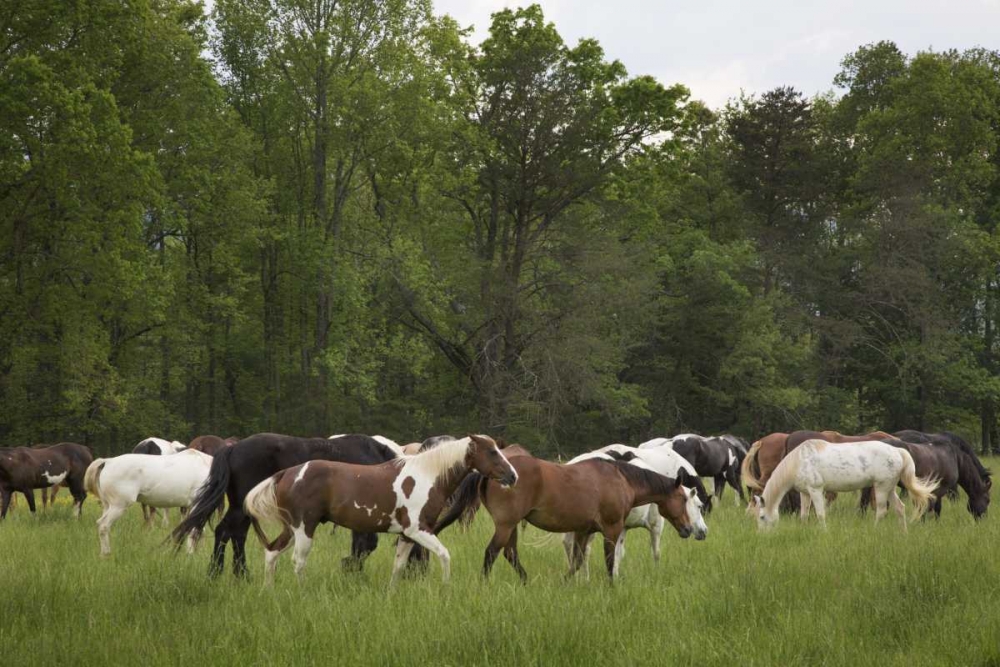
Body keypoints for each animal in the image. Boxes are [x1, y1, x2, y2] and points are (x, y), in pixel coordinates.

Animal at [84, 448, 215, 560]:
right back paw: (106, 554)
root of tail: (108, 461)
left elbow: (200, 530)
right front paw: (190, 554)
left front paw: (199, 553)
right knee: (103, 525)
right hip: (119, 506)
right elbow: (194, 530)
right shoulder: (196, 505)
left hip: (107, 505)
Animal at [170, 434, 420, 580]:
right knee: (225, 531)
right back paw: (216, 572)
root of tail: (233, 448)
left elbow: (364, 545)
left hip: (244, 509)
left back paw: (242, 574)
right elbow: (365, 545)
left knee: (237, 534)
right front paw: (351, 569)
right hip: (240, 507)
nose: (416, 576)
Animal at [245, 434, 520, 584]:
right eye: (492, 452)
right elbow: (444, 555)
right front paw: (445, 588)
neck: (426, 475)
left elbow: (398, 566)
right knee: (298, 562)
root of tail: (287, 474)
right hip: (305, 530)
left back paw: (268, 591)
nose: (513, 476)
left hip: (292, 529)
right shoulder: (419, 530)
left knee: (271, 553)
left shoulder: (407, 535)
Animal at [442, 454, 700, 584]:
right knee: (491, 553)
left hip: (511, 525)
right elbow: (610, 560)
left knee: (510, 553)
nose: (688, 529)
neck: (620, 479)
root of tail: (492, 473)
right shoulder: (611, 529)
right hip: (506, 525)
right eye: (683, 498)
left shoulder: (583, 531)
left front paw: (565, 582)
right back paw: (485, 583)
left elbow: (577, 561)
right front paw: (612, 586)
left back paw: (526, 581)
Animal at [752, 438, 940, 532]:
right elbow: (804, 514)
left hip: (881, 487)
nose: (761, 535)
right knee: (900, 508)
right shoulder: (805, 493)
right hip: (890, 488)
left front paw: (824, 533)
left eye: (761, 517)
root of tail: (898, 451)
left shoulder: (816, 490)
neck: (799, 460)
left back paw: (874, 531)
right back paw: (904, 533)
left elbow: (820, 514)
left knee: (881, 511)